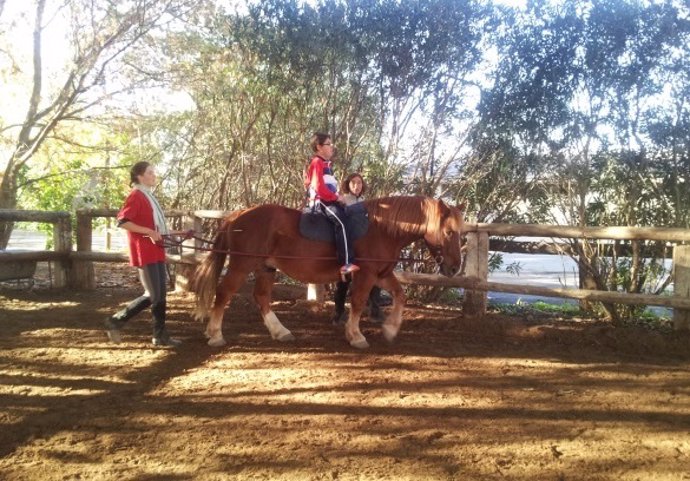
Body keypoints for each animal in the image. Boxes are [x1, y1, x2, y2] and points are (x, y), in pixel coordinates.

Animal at [191, 195, 464, 348]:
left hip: (265, 268)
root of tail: (237, 215)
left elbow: (400, 295)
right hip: (241, 265)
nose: (454, 267)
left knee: (262, 298)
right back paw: (215, 334)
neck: (382, 229)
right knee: (223, 293)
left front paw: (390, 329)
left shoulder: (383, 274)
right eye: (449, 232)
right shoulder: (366, 275)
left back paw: (280, 331)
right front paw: (355, 336)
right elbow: (358, 301)